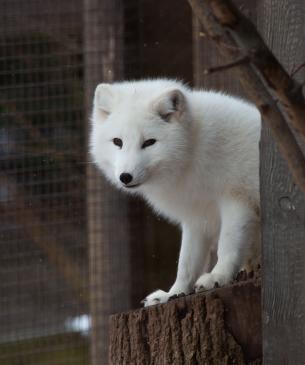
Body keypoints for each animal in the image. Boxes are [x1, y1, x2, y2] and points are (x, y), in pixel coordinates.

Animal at [89, 78, 260, 306]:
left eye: (149, 142)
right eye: (118, 142)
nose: (125, 177)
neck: (195, 149)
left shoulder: (238, 199)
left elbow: (228, 244)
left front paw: (218, 276)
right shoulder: (197, 217)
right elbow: (186, 263)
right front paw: (174, 294)